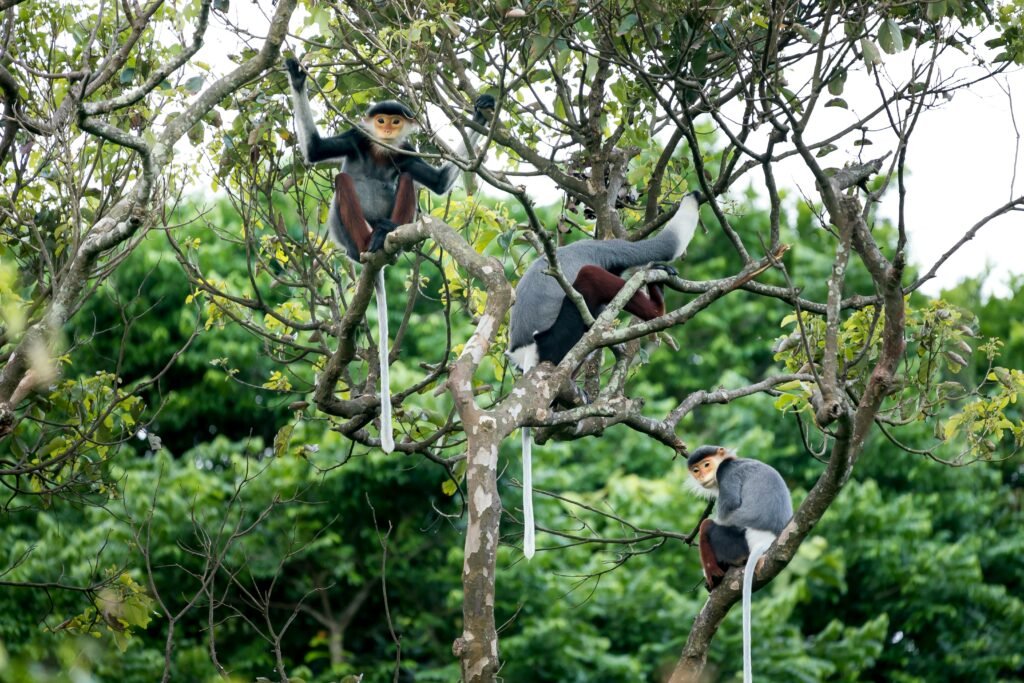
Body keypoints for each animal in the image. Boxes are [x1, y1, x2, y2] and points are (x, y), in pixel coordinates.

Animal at [285, 57, 494, 453]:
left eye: (395, 122)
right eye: (380, 120)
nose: (385, 128)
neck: (381, 150)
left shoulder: (407, 149)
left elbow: (438, 182)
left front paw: (481, 111)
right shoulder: (357, 139)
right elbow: (316, 151)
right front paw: (297, 77)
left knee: (408, 178)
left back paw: (388, 235)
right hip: (348, 237)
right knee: (342, 182)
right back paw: (371, 244)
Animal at [506, 190, 703, 558]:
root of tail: (527, 354)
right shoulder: (607, 252)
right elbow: (663, 246)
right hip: (557, 336)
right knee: (589, 280)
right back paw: (655, 310)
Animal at [685, 445, 793, 683]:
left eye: (707, 465)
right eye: (696, 470)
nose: (703, 476)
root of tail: (764, 541)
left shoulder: (726, 474)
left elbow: (729, 509)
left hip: (735, 544)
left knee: (708, 526)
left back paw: (715, 578)